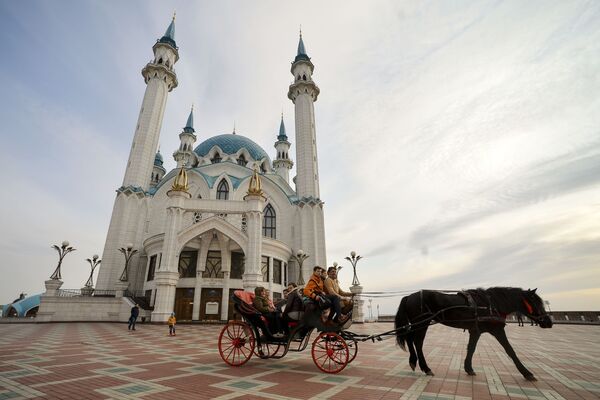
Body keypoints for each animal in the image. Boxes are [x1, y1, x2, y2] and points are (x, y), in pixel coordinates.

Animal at [394, 288, 552, 382]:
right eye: (537, 303)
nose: (549, 322)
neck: (491, 304)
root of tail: (409, 296)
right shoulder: (497, 331)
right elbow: (510, 350)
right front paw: (527, 372)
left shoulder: (475, 331)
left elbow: (471, 348)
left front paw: (468, 368)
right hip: (422, 323)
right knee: (417, 342)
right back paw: (425, 367)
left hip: (420, 323)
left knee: (410, 339)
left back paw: (414, 362)